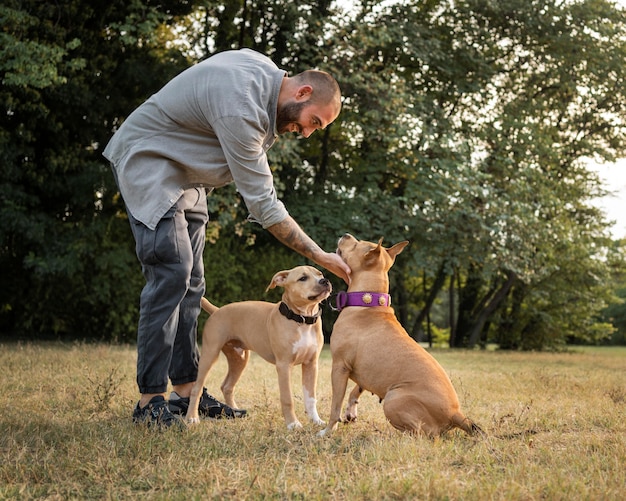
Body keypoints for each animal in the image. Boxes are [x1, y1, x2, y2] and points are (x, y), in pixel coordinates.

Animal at [186, 266, 330, 430]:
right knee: (196, 388)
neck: (302, 320)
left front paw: (316, 421)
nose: (325, 281)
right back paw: (192, 418)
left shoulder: (311, 364)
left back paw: (234, 412)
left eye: (320, 274)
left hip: (239, 358)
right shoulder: (284, 365)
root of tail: (217, 310)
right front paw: (293, 424)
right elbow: (287, 398)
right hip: (209, 354)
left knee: (227, 386)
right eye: (303, 278)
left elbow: (311, 397)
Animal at [320, 234, 480, 438]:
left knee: (423, 434)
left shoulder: (339, 367)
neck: (368, 301)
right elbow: (356, 390)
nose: (346, 235)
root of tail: (455, 413)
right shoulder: (364, 372)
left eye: (357, 244)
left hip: (393, 399)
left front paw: (327, 431)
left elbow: (335, 405)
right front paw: (350, 411)